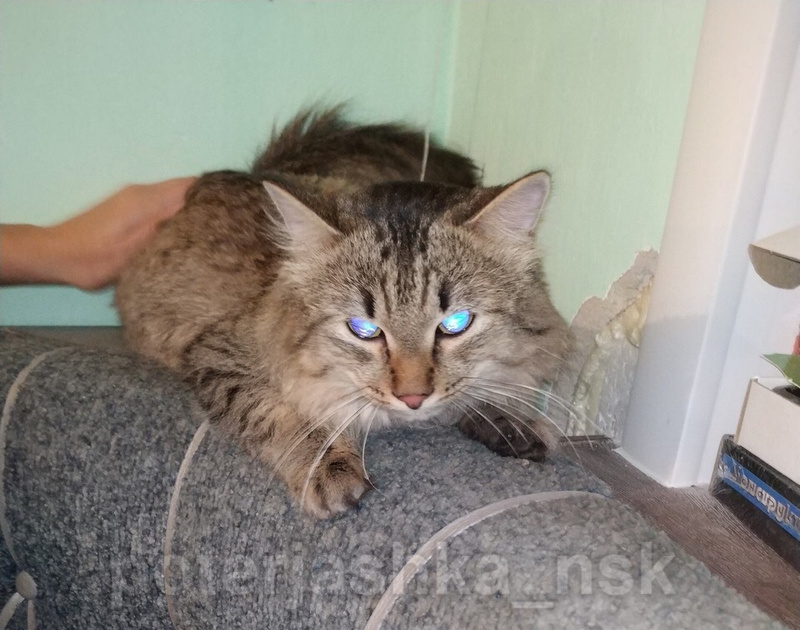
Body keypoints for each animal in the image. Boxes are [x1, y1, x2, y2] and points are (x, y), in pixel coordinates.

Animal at [116, 107, 571, 518]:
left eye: (455, 324)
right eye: (363, 328)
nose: (413, 398)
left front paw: (510, 420)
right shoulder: (217, 353)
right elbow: (281, 414)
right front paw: (327, 466)